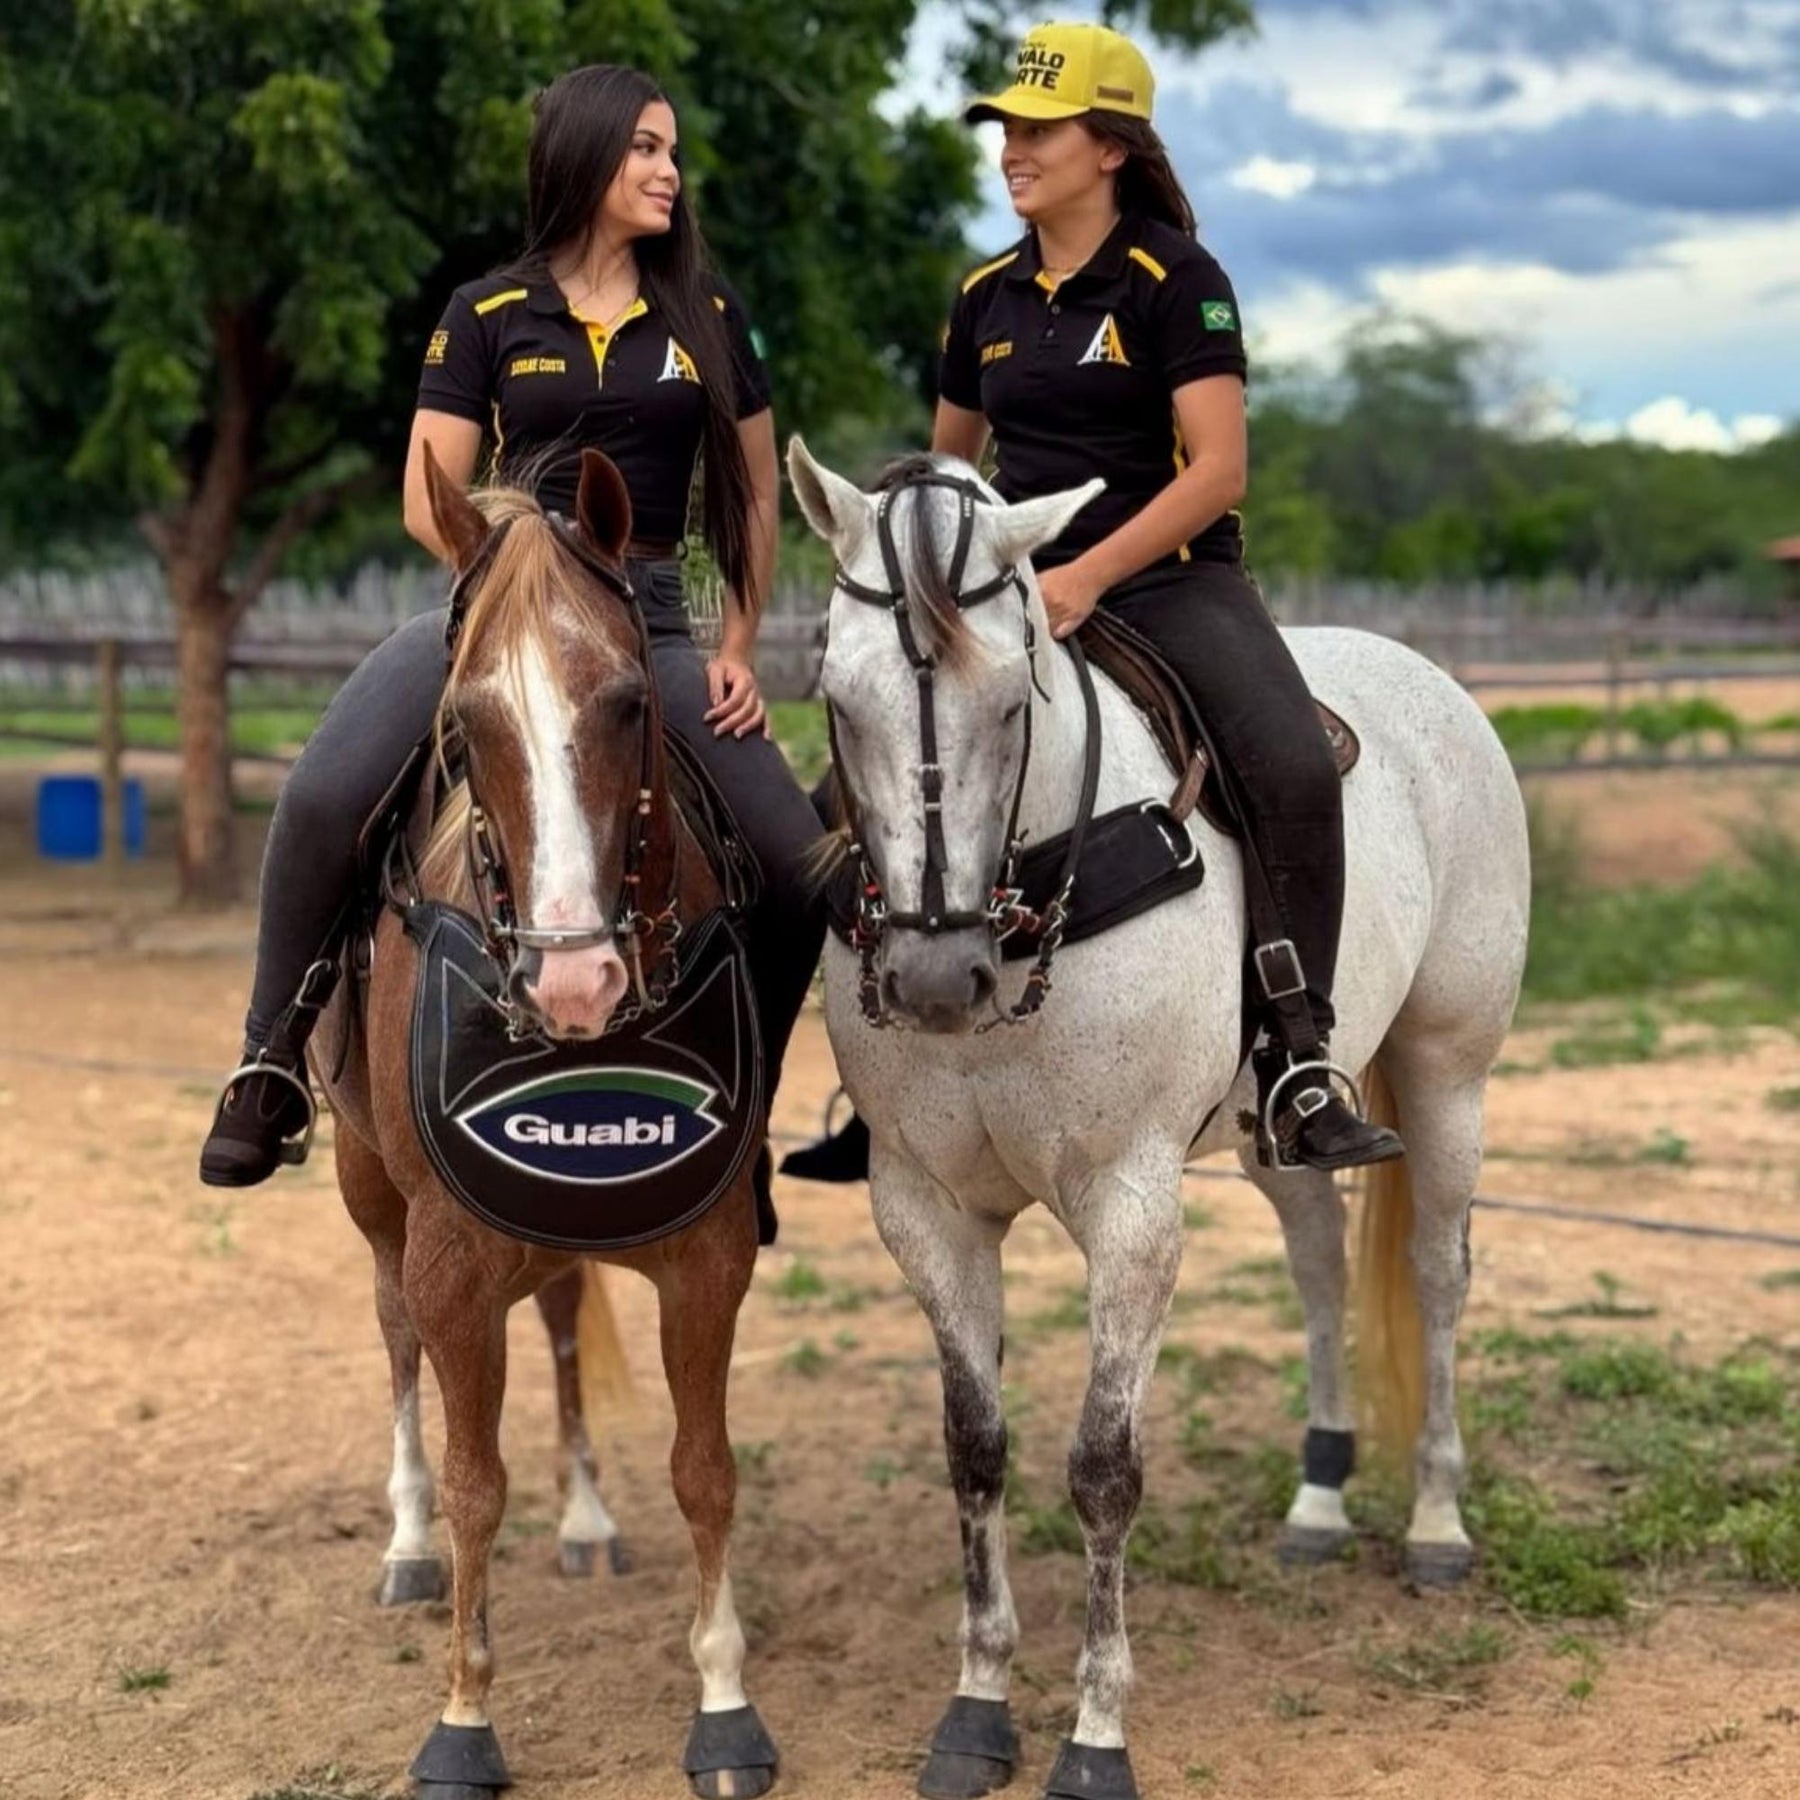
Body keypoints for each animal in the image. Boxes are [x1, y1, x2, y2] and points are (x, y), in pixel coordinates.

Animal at [312, 446, 779, 1799]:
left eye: (626, 703)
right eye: (466, 725)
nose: (576, 985)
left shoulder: (708, 1249)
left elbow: (703, 1471)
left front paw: (724, 1706)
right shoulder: (449, 1256)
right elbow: (477, 1481)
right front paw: (464, 1720)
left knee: (568, 1327)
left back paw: (582, 1517)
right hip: (368, 1189)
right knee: (394, 1340)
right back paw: (407, 1545)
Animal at [786, 440, 1529, 1800]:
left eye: (1013, 703)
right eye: (839, 701)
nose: (934, 982)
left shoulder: (1132, 1206)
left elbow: (1102, 1467)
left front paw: (1095, 1733)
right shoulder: (926, 1210)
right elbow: (975, 1446)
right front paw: (976, 1705)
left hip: (1451, 1070)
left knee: (1436, 1274)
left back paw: (1438, 1524)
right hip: (1278, 1127)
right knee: (1321, 1264)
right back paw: (1320, 1502)